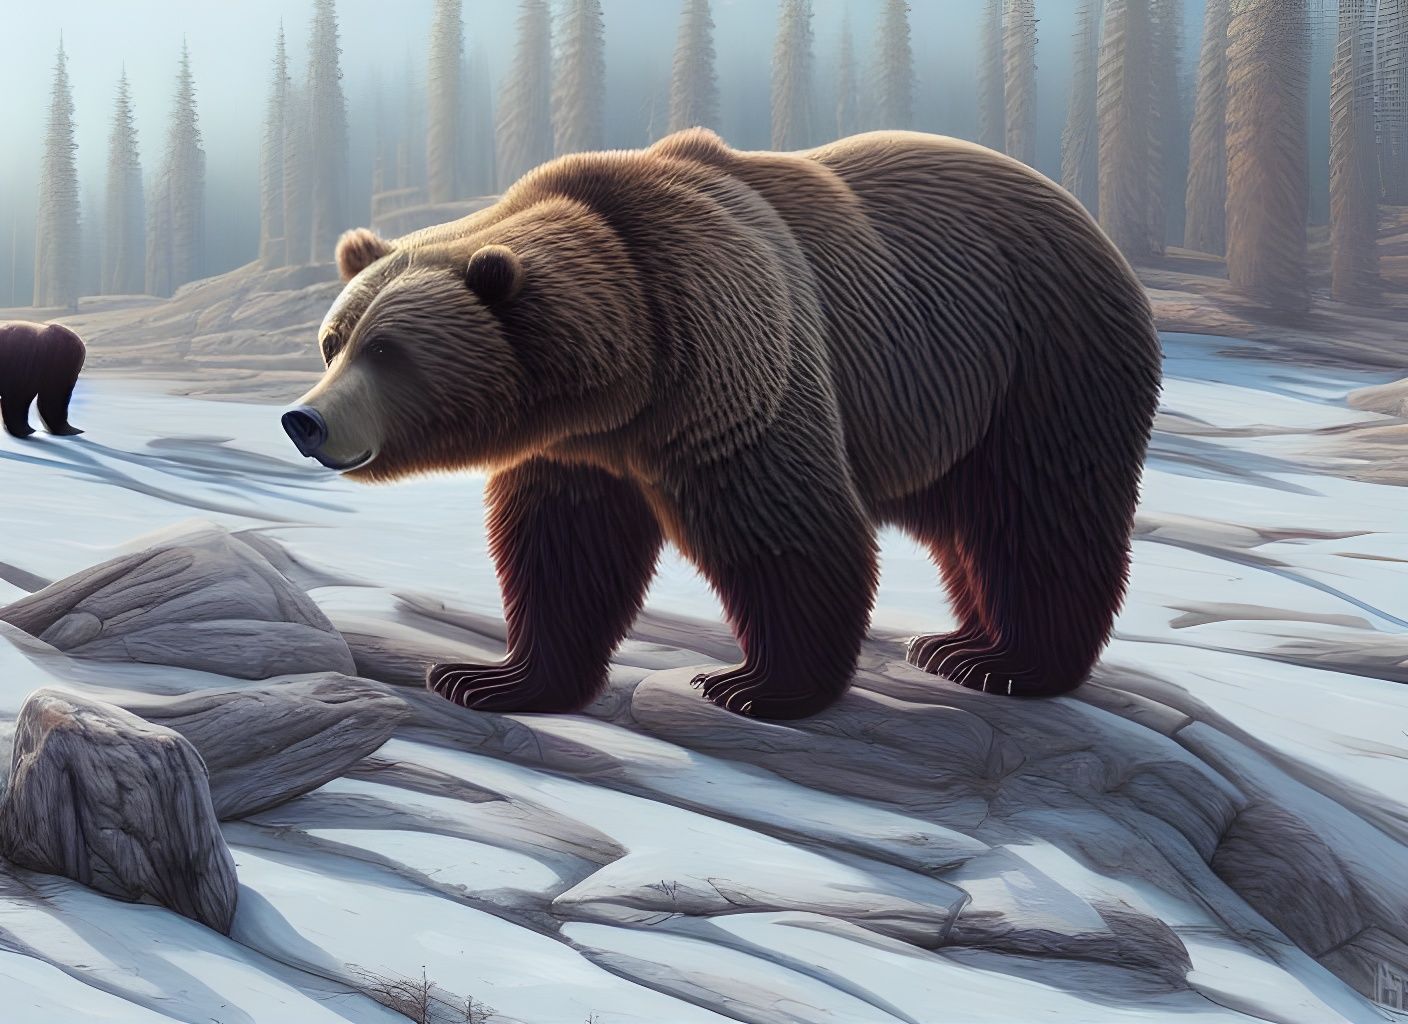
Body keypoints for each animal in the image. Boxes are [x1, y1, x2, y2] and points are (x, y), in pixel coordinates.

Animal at [283, 128, 1162, 721]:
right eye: (333, 340)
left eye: (388, 350)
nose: (305, 420)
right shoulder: (577, 450)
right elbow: (558, 547)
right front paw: (491, 676)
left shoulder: (735, 361)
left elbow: (781, 523)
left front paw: (753, 683)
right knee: (965, 524)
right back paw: (958, 644)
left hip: (1040, 358)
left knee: (1038, 510)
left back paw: (1010, 663)